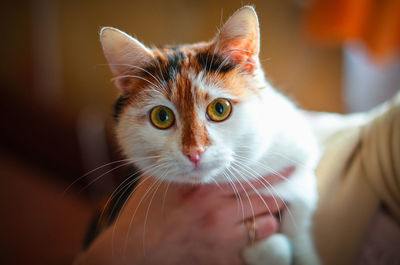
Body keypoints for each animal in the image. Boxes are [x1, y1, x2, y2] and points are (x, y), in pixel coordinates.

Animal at [101, 5, 322, 264]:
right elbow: (275, 248)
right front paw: (266, 248)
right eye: (161, 116)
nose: (194, 152)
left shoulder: (299, 174)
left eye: (220, 109)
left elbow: (299, 232)